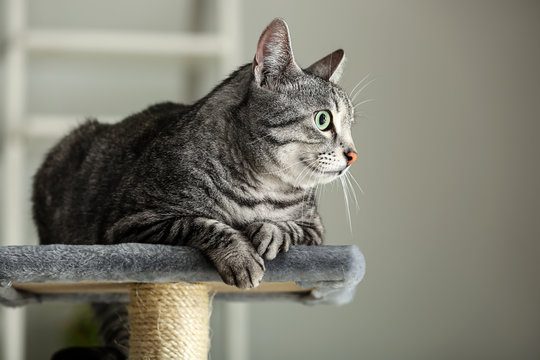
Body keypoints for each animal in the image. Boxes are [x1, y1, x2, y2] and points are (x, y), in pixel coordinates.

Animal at [31, 19, 356, 360]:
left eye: (351, 125)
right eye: (323, 120)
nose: (353, 154)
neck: (262, 189)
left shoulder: (316, 231)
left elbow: (290, 227)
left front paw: (270, 232)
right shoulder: (131, 222)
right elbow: (204, 224)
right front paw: (241, 256)